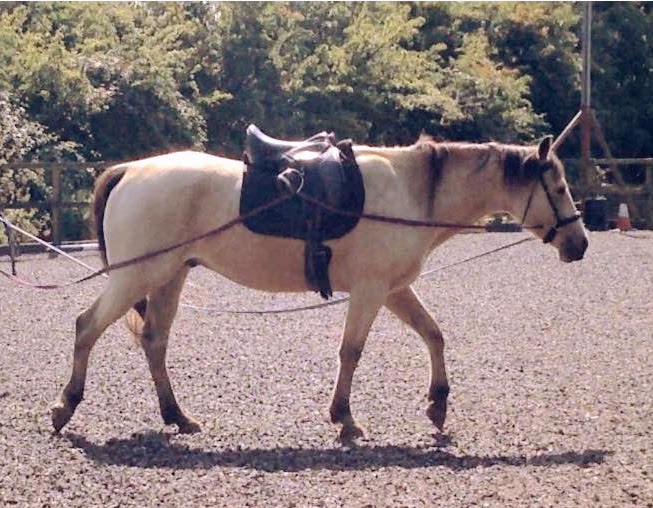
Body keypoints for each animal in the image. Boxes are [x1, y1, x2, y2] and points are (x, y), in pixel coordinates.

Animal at [51, 134, 588, 440]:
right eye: (560, 188)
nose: (580, 243)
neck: (412, 193)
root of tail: (130, 170)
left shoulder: (394, 290)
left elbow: (434, 334)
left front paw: (437, 403)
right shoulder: (371, 290)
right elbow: (352, 351)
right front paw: (344, 417)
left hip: (168, 276)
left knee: (154, 342)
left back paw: (177, 417)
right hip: (137, 276)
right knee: (86, 327)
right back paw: (65, 407)